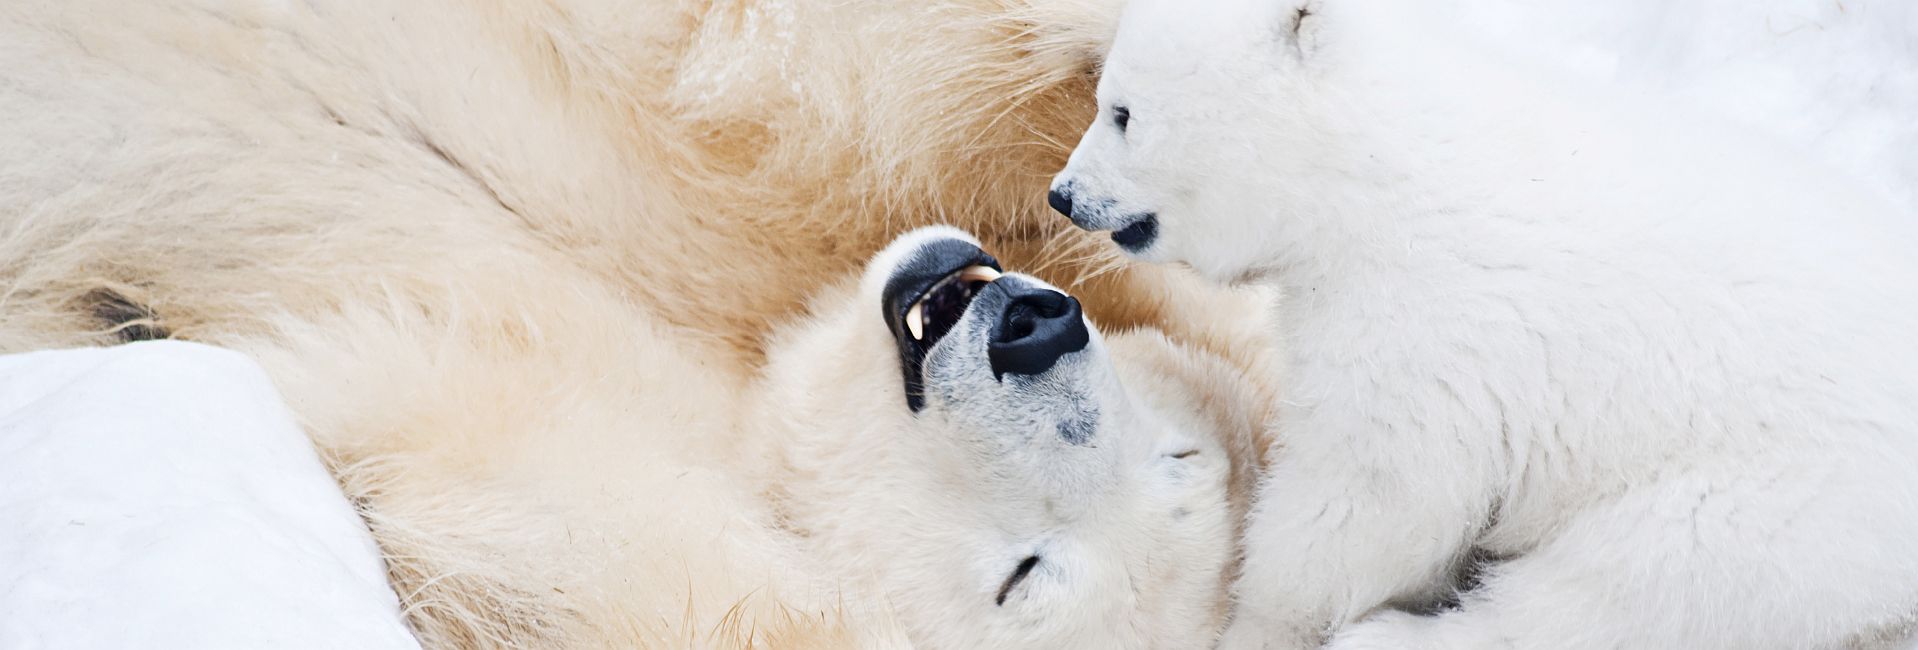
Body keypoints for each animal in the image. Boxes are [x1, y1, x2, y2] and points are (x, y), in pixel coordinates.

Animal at [1048, 0, 1918, 649]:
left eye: (1122, 112)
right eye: (1106, 96)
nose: (1064, 193)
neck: (1376, 172)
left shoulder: (1423, 325)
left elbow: (1368, 496)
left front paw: (1259, 621)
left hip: (1776, 504)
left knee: (1624, 589)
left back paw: (1391, 638)